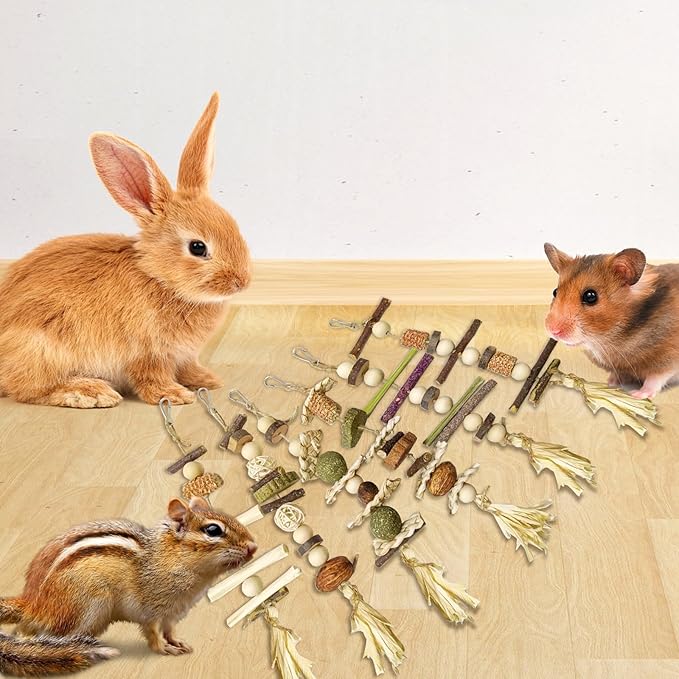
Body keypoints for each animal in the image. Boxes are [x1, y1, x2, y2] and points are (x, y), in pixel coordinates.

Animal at [0, 93, 251, 408]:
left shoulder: (182, 355)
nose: (242, 282)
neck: (159, 279)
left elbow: (187, 367)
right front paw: (175, 395)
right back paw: (90, 392)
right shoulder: (147, 353)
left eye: (235, 227)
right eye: (197, 247)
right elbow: (151, 378)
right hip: (41, 345)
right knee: (27, 387)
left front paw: (206, 380)